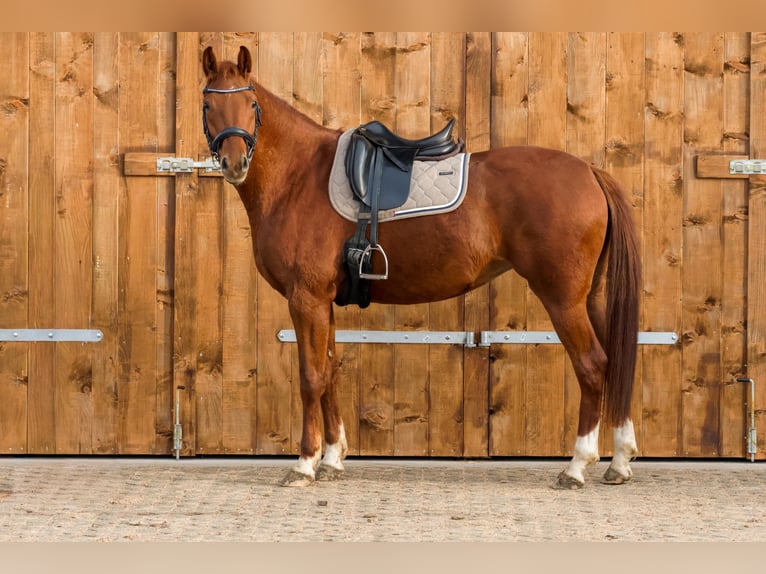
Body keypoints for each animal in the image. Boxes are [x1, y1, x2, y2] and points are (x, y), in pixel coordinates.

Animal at [201, 45, 642, 489]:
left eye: (251, 104)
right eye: (208, 105)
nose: (234, 163)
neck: (299, 177)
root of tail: (590, 172)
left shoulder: (305, 299)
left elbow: (311, 378)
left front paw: (305, 463)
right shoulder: (322, 302)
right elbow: (330, 372)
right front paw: (332, 459)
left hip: (563, 299)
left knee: (592, 366)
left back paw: (577, 466)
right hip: (593, 298)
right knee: (617, 362)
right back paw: (619, 462)